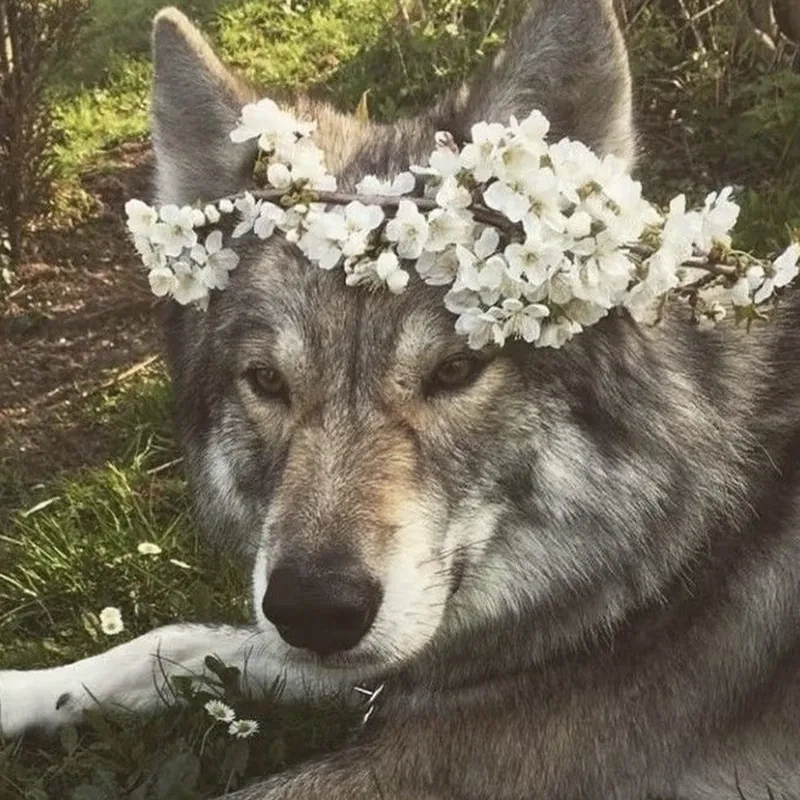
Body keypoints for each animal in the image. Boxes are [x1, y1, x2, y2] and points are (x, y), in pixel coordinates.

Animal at [3, 0, 800, 797]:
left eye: (456, 370)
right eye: (268, 381)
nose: (315, 612)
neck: (694, 541)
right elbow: (174, 641)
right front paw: (19, 691)